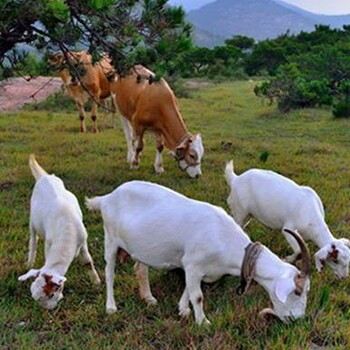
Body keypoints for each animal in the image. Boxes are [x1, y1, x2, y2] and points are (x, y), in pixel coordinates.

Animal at [18, 156, 100, 308]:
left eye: (51, 294)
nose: (48, 309)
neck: (67, 231)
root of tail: (44, 176)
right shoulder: (49, 243)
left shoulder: (83, 239)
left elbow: (87, 261)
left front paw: (96, 282)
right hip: (32, 220)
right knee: (33, 239)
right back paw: (29, 262)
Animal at [86, 180, 310, 326]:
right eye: (297, 292)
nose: (296, 319)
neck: (225, 239)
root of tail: (107, 198)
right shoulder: (193, 263)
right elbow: (198, 295)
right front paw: (203, 322)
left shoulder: (194, 267)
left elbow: (189, 287)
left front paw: (183, 310)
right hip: (110, 239)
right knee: (109, 272)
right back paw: (111, 307)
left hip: (140, 247)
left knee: (140, 268)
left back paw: (149, 298)